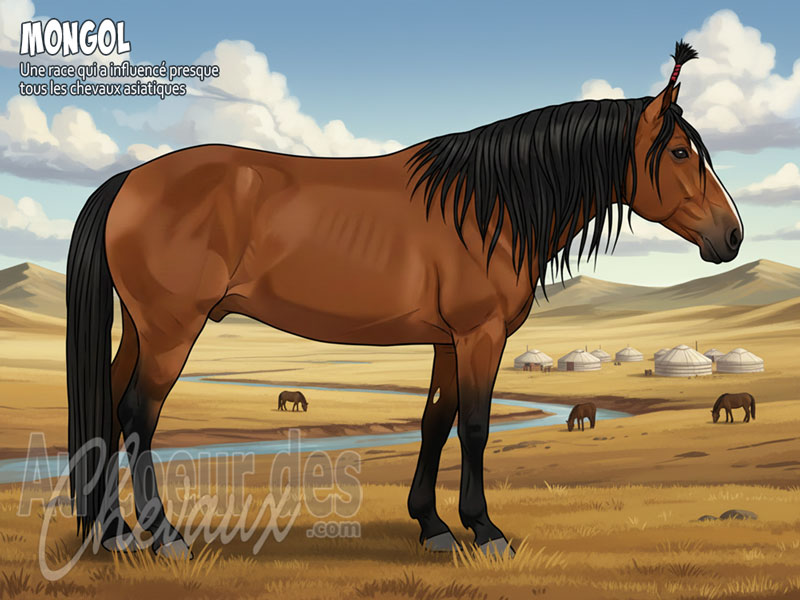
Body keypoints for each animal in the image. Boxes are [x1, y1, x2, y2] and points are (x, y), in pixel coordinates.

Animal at [66, 40, 742, 558]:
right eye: (680, 151)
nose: (731, 236)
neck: (490, 206)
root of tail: (129, 179)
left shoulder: (448, 340)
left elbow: (434, 422)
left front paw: (433, 525)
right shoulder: (479, 334)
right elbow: (475, 426)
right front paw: (485, 530)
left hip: (142, 328)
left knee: (107, 407)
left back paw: (113, 532)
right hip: (171, 329)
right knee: (137, 414)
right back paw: (164, 536)